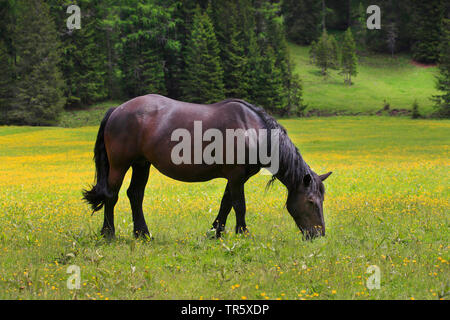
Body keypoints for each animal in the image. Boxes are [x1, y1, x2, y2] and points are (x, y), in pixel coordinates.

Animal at [82, 95, 332, 240]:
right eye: (311, 202)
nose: (319, 234)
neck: (252, 130)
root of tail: (117, 109)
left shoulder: (236, 177)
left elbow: (226, 204)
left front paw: (216, 232)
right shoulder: (236, 176)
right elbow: (239, 205)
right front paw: (243, 233)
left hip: (141, 164)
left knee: (135, 195)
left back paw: (142, 234)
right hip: (120, 165)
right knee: (111, 196)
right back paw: (109, 234)